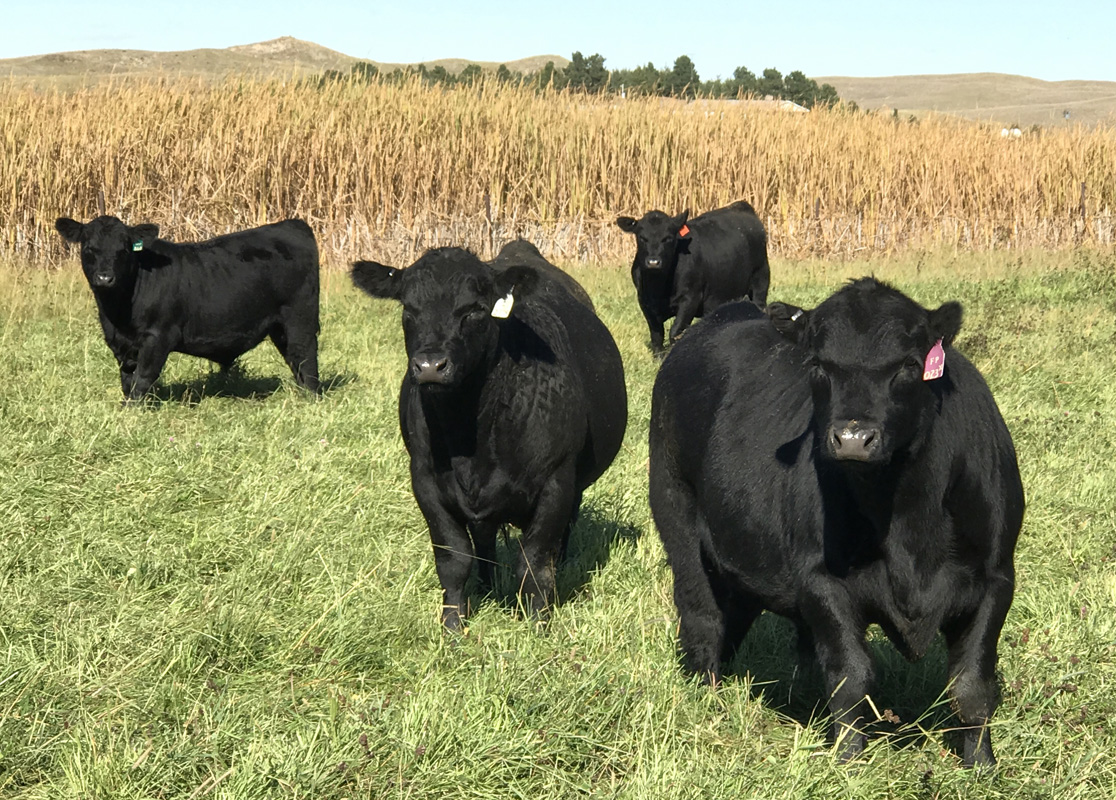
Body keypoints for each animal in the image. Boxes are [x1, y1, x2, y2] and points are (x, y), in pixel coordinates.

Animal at [54, 215, 320, 401]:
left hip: (300, 318)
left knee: (306, 356)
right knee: (294, 359)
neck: (118, 313)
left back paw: (311, 397)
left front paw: (133, 409)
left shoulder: (158, 336)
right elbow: (127, 378)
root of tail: (292, 224)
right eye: (88, 248)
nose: (104, 278)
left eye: (124, 249)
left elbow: (143, 376)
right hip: (279, 326)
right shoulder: (119, 343)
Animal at [351, 247, 627, 629]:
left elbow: (535, 560)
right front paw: (453, 624)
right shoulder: (425, 482)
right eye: (408, 309)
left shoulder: (556, 480)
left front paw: (537, 623)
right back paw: (486, 584)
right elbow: (454, 558)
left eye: (475, 310)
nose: (430, 366)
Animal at [616, 199, 769, 353]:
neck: (658, 287)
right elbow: (656, 334)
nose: (653, 262)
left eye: (668, 238)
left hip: (761, 280)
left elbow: (675, 331)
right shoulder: (644, 301)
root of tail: (741, 206)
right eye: (641, 237)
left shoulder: (690, 298)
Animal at [649, 278, 1024, 768]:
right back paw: (707, 699)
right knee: (703, 617)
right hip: (675, 512)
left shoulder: (995, 579)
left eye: (909, 364)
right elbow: (851, 678)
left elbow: (971, 688)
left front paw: (981, 765)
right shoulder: (821, 580)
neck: (907, 518)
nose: (852, 437)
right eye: (818, 365)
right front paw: (847, 760)